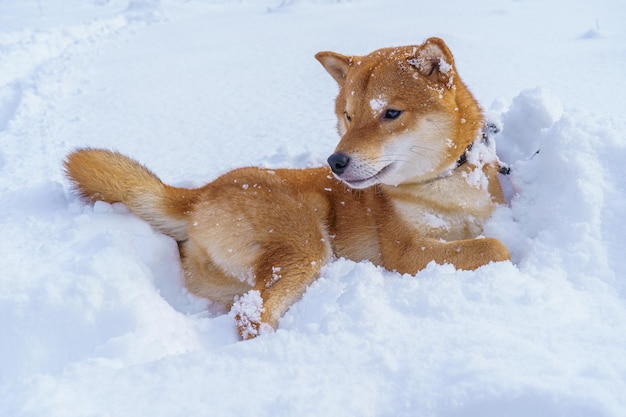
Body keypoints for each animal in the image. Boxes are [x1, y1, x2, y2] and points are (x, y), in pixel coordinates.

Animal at [66, 37, 510, 338]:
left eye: (391, 113)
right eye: (348, 116)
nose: (335, 162)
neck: (446, 182)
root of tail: (203, 193)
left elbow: (486, 235)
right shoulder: (406, 252)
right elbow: (495, 247)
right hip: (306, 245)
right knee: (251, 314)